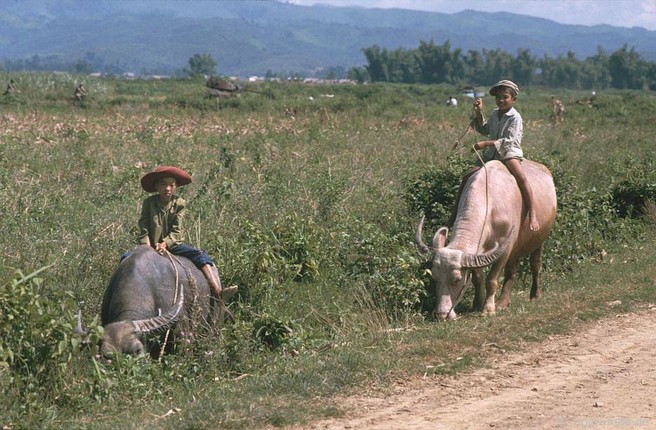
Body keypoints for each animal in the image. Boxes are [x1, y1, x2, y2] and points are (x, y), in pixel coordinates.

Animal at [416, 160, 552, 320]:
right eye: (435, 277)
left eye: (457, 279)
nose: (441, 314)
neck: (490, 204)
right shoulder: (478, 251)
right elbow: (478, 278)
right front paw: (477, 304)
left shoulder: (504, 249)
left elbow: (491, 280)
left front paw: (488, 309)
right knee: (512, 270)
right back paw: (504, 302)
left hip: (539, 239)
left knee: (535, 265)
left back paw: (533, 295)